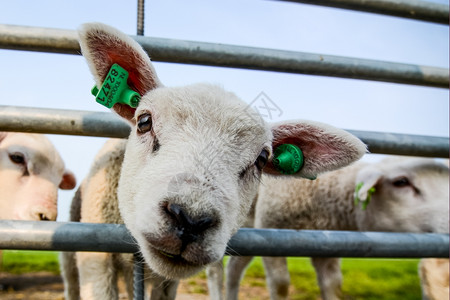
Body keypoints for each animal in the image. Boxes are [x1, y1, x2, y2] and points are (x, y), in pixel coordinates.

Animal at [223, 156, 448, 300]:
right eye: (401, 182)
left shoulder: (326, 246)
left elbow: (333, 286)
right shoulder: (271, 231)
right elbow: (281, 285)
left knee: (234, 267)